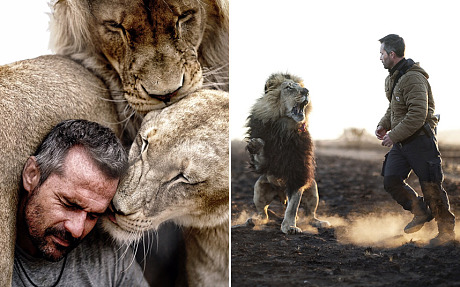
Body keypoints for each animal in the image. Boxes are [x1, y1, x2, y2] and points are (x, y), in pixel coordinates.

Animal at [244, 73, 330, 235]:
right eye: (289, 87)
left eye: (301, 86)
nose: (306, 91)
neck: (283, 129)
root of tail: (281, 196)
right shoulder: (264, 164)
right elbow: (261, 159)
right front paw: (256, 144)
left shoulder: (298, 172)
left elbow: (292, 207)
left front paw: (289, 226)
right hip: (259, 187)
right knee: (263, 214)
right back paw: (254, 220)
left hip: (313, 188)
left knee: (309, 214)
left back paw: (320, 223)